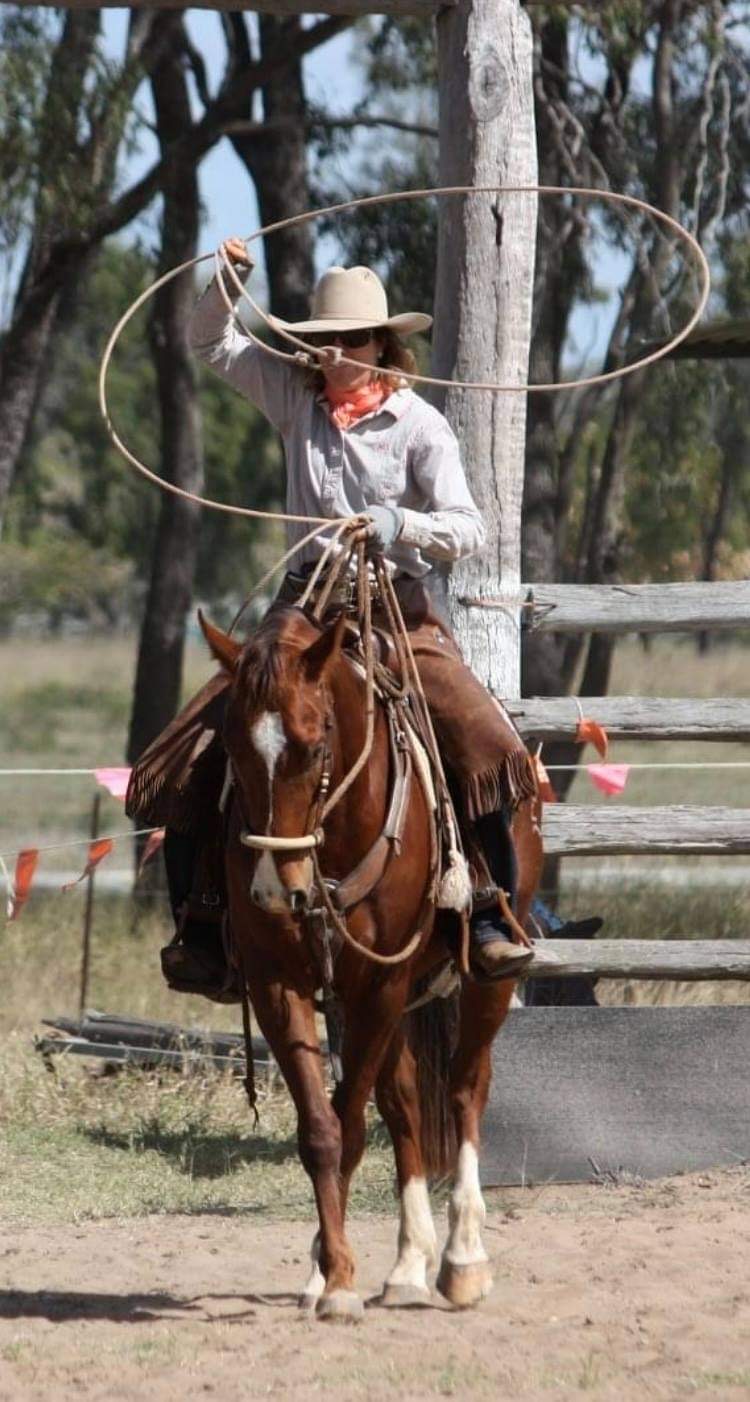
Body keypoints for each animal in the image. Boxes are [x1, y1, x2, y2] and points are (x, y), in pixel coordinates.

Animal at [200, 600, 542, 1320]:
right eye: (233, 751)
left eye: (314, 743)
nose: (275, 891)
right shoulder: (281, 987)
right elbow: (324, 1129)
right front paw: (329, 1272)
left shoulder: (379, 982)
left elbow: (352, 1125)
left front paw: (336, 1282)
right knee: (405, 1101)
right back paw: (408, 1263)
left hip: (480, 983)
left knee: (466, 1087)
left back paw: (463, 1258)